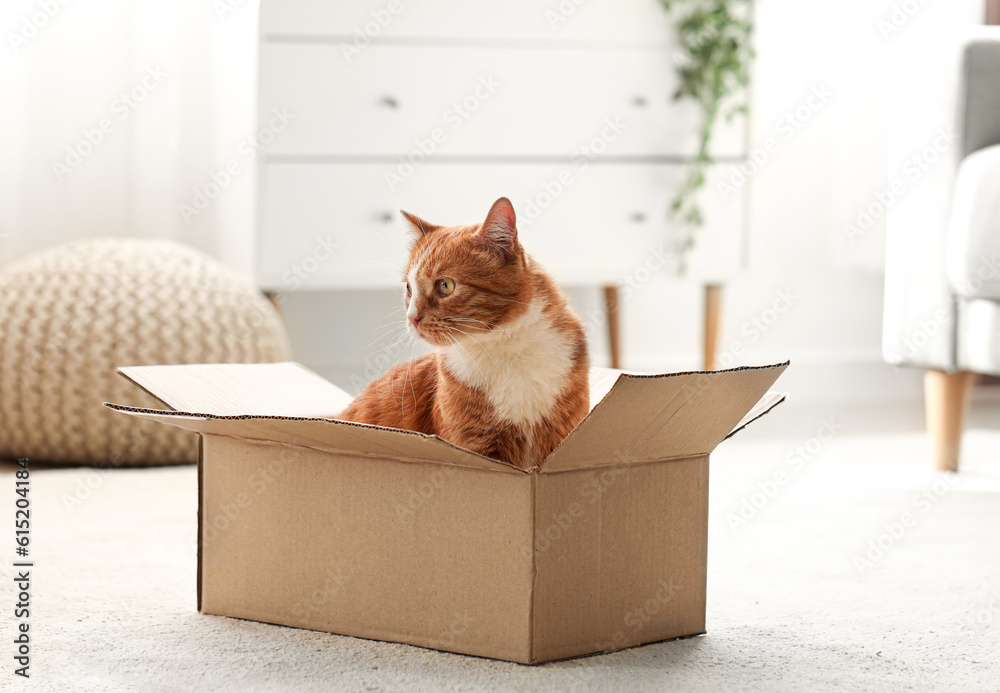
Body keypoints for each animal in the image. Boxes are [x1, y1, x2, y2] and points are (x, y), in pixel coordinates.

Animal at [342, 193, 592, 470]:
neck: (504, 347)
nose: (411, 318)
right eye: (409, 288)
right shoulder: (476, 447)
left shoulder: (563, 434)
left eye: (445, 286)